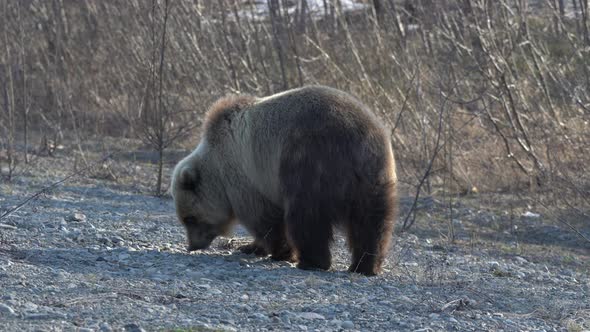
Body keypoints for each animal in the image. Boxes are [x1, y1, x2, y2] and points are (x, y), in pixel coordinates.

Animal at [173, 85, 400, 274]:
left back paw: (312, 262)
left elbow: (263, 218)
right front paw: (250, 247)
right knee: (371, 221)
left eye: (189, 218)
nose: (192, 245)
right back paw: (364, 265)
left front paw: (278, 251)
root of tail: (355, 136)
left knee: (306, 216)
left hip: (307, 161)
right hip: (373, 176)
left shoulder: (246, 176)